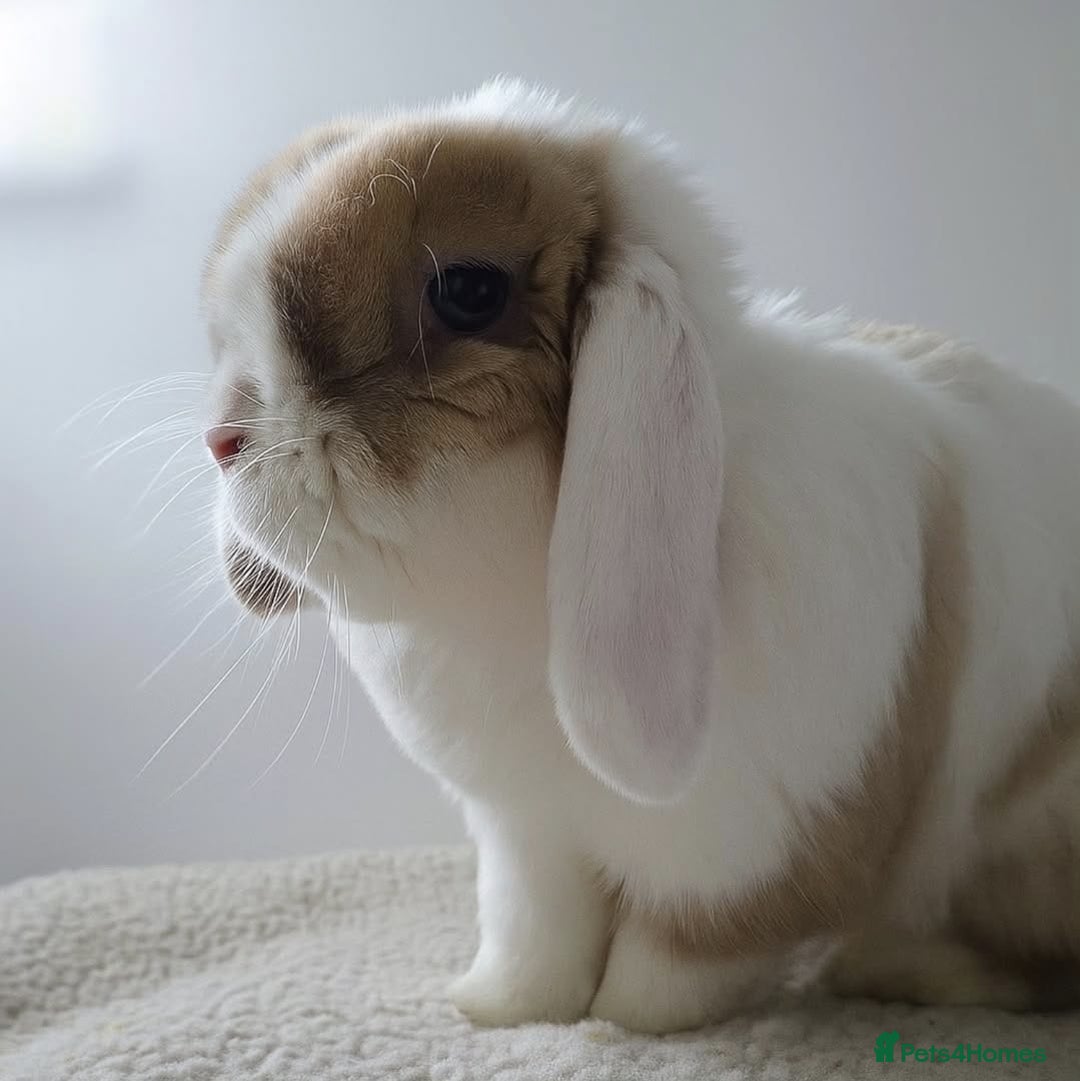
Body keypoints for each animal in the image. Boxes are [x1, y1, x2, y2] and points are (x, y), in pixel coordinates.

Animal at [199, 79, 1080, 1033]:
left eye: (466, 291)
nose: (225, 441)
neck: (515, 603)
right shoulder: (525, 834)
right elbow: (533, 933)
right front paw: (495, 1007)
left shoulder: (740, 854)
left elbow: (670, 971)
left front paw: (622, 1024)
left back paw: (905, 967)